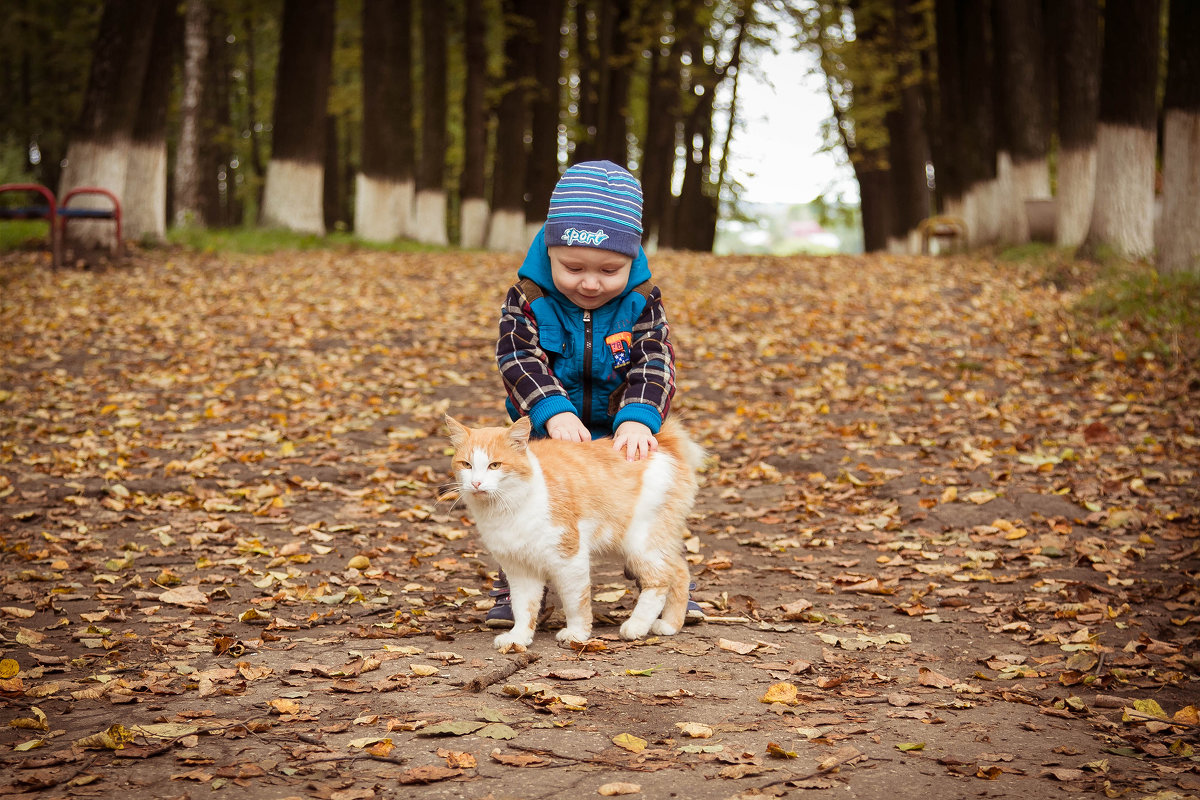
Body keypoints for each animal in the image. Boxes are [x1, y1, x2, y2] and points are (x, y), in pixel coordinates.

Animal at [446, 417, 700, 652]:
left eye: (495, 465)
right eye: (467, 465)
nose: (476, 483)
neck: (509, 507)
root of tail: (663, 441)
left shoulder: (570, 559)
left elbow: (575, 602)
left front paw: (577, 634)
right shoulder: (520, 569)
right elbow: (523, 607)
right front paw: (519, 637)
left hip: (641, 543)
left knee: (660, 580)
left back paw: (637, 625)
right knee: (680, 571)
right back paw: (670, 625)